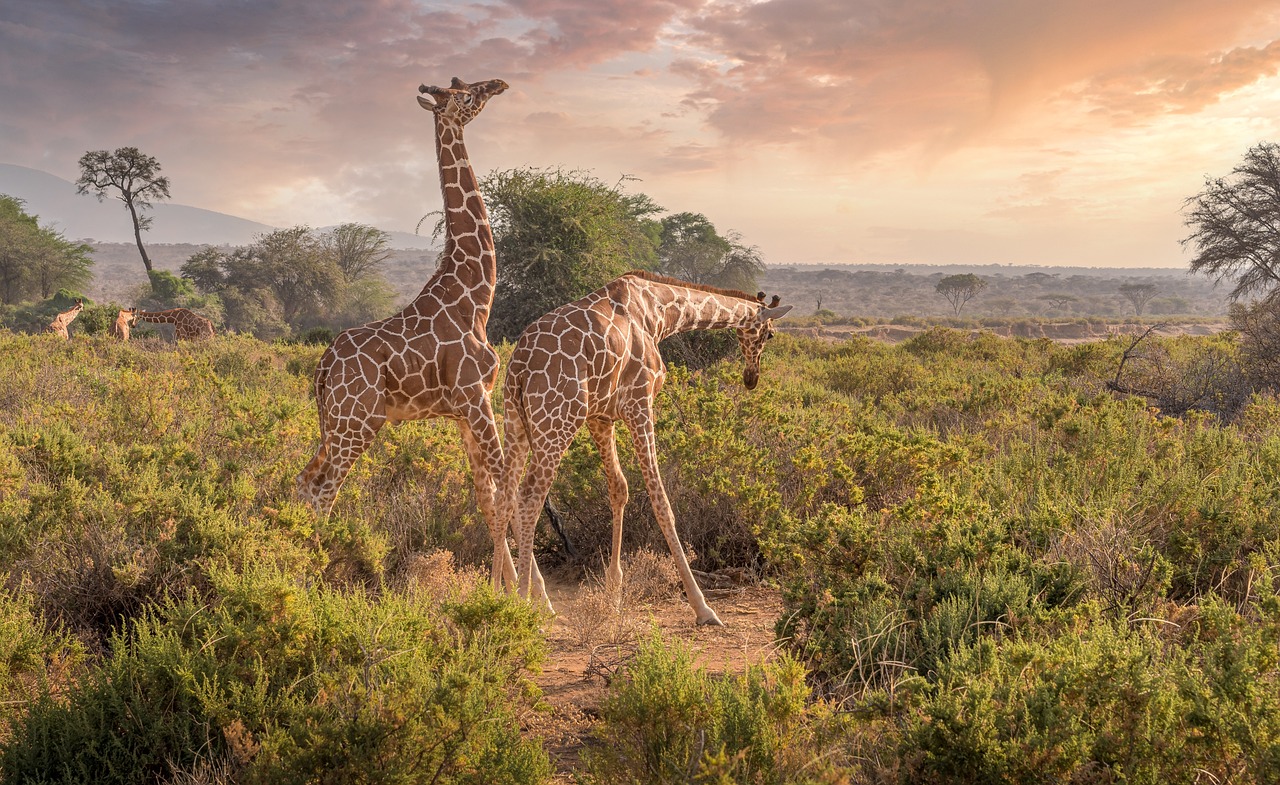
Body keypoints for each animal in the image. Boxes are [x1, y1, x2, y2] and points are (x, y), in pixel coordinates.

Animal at [296, 76, 522, 589]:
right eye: (465, 95)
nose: (498, 84)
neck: (475, 297)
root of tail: (322, 368)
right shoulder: (476, 398)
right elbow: (506, 483)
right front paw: (529, 595)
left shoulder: (462, 411)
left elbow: (486, 495)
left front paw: (501, 588)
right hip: (357, 423)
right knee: (323, 488)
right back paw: (312, 579)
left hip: (334, 424)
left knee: (305, 478)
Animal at [496, 268, 788, 624]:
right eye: (769, 335)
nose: (751, 378)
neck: (659, 312)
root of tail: (519, 365)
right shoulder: (639, 402)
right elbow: (660, 500)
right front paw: (702, 606)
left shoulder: (600, 416)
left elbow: (619, 489)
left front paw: (614, 592)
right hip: (557, 420)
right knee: (529, 499)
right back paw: (526, 604)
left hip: (515, 420)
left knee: (504, 496)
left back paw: (493, 594)